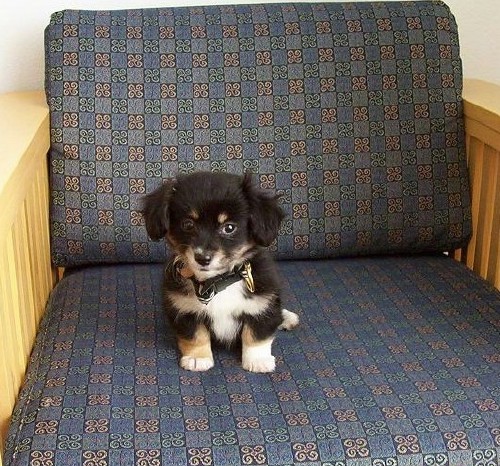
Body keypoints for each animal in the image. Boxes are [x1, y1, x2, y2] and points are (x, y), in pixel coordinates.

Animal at [142, 173, 296, 374]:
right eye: (188, 224)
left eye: (229, 228)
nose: (202, 258)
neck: (217, 281)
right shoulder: (184, 309)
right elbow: (195, 335)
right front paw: (198, 359)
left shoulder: (262, 304)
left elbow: (257, 334)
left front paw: (258, 361)